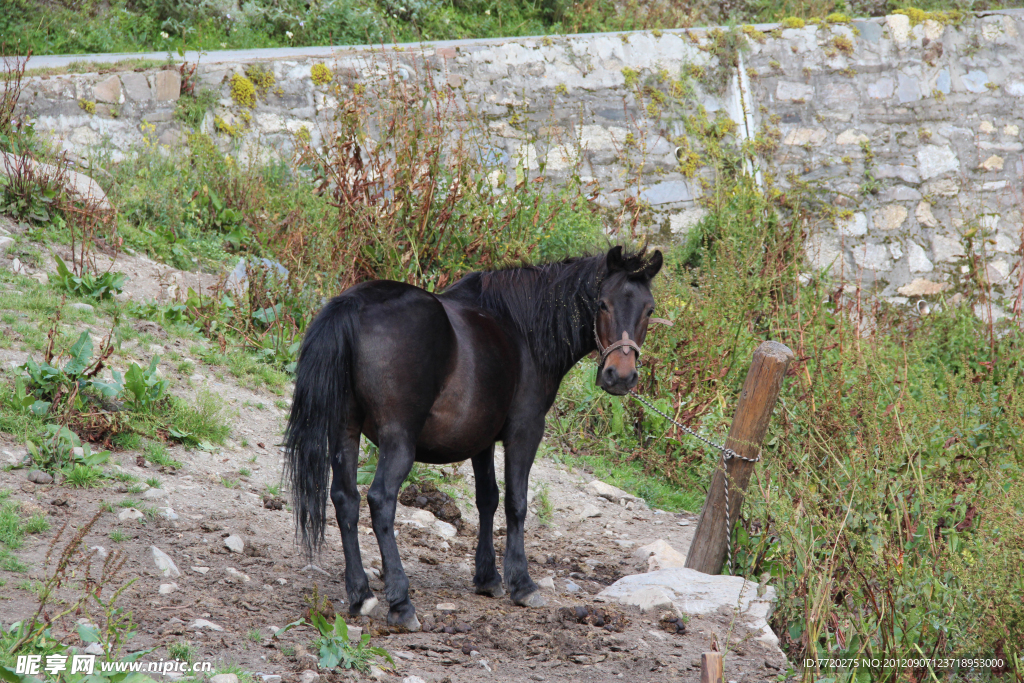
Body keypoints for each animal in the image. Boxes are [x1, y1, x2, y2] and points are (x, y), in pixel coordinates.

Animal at [284, 245, 663, 630]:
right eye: (602, 304)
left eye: (649, 309)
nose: (621, 376)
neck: (521, 329)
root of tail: (354, 304)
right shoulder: (525, 431)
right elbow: (516, 503)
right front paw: (521, 583)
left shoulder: (481, 439)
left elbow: (487, 500)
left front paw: (488, 578)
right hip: (398, 439)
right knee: (380, 501)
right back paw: (401, 602)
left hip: (344, 430)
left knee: (345, 499)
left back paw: (361, 595)